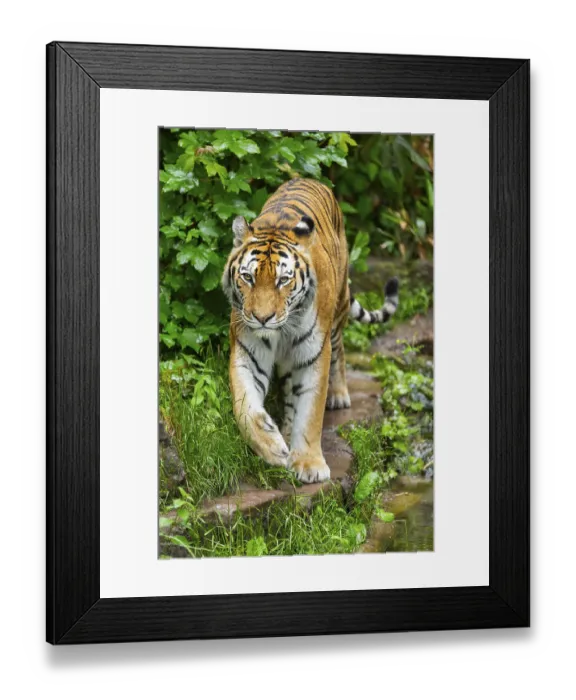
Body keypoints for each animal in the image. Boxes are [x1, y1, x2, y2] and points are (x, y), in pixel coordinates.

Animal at [221, 178, 399, 483]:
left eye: (283, 280)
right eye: (247, 277)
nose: (262, 318)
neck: (280, 332)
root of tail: (307, 179)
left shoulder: (314, 354)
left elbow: (311, 411)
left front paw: (309, 464)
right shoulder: (247, 352)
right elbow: (244, 407)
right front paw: (272, 446)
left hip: (338, 312)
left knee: (340, 350)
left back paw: (338, 395)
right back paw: (285, 431)